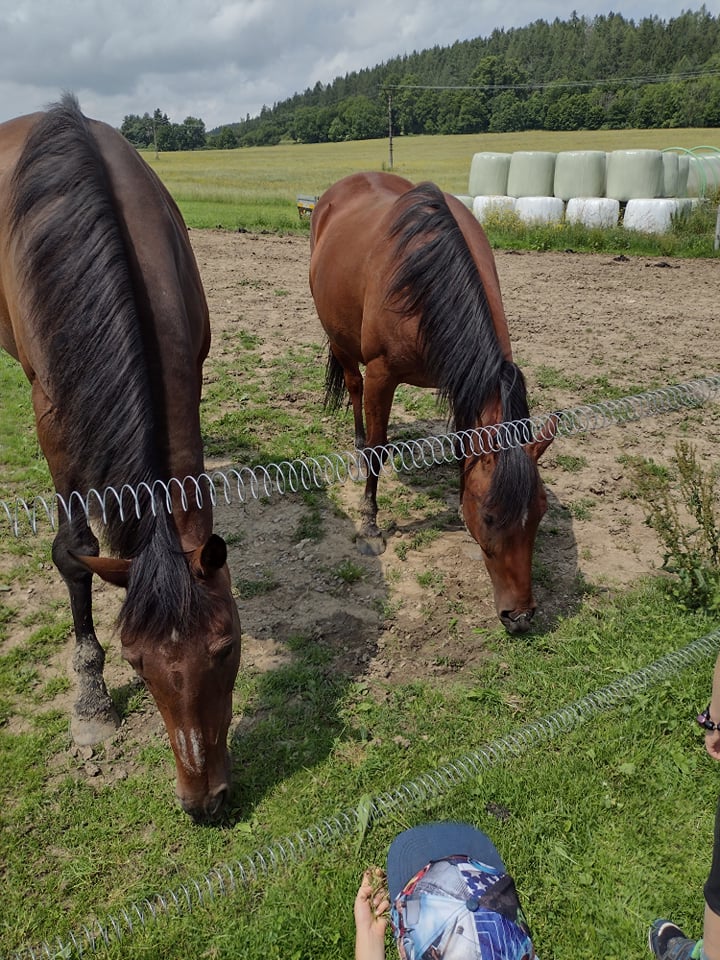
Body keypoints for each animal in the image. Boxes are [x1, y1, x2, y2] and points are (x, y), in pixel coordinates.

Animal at [0, 94, 241, 822]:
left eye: (227, 647)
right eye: (136, 663)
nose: (203, 800)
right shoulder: (52, 412)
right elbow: (74, 552)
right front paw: (90, 698)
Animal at [309, 171, 556, 635]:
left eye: (540, 512)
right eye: (490, 518)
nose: (520, 616)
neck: (425, 282)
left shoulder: (463, 379)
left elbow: (464, 446)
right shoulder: (382, 376)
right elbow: (378, 449)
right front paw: (370, 525)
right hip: (341, 341)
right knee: (353, 389)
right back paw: (355, 446)